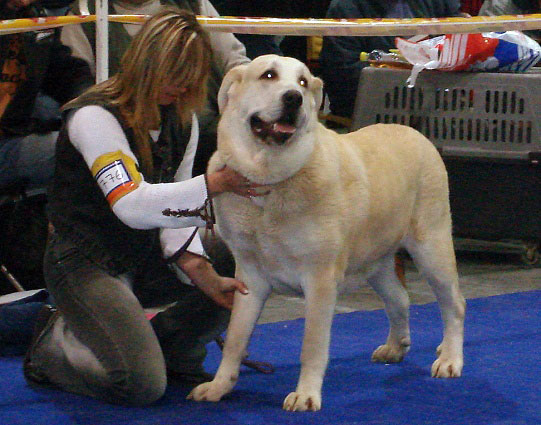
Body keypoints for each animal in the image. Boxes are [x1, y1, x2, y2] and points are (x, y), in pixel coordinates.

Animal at [187, 55, 464, 410]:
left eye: (304, 82)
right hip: (375, 261)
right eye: (268, 75)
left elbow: (312, 344)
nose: (294, 98)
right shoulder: (250, 278)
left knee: (454, 304)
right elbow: (236, 338)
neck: (270, 184)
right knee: (400, 298)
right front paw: (219, 386)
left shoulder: (320, 280)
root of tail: (417, 134)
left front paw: (306, 394)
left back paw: (450, 359)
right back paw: (395, 347)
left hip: (431, 247)